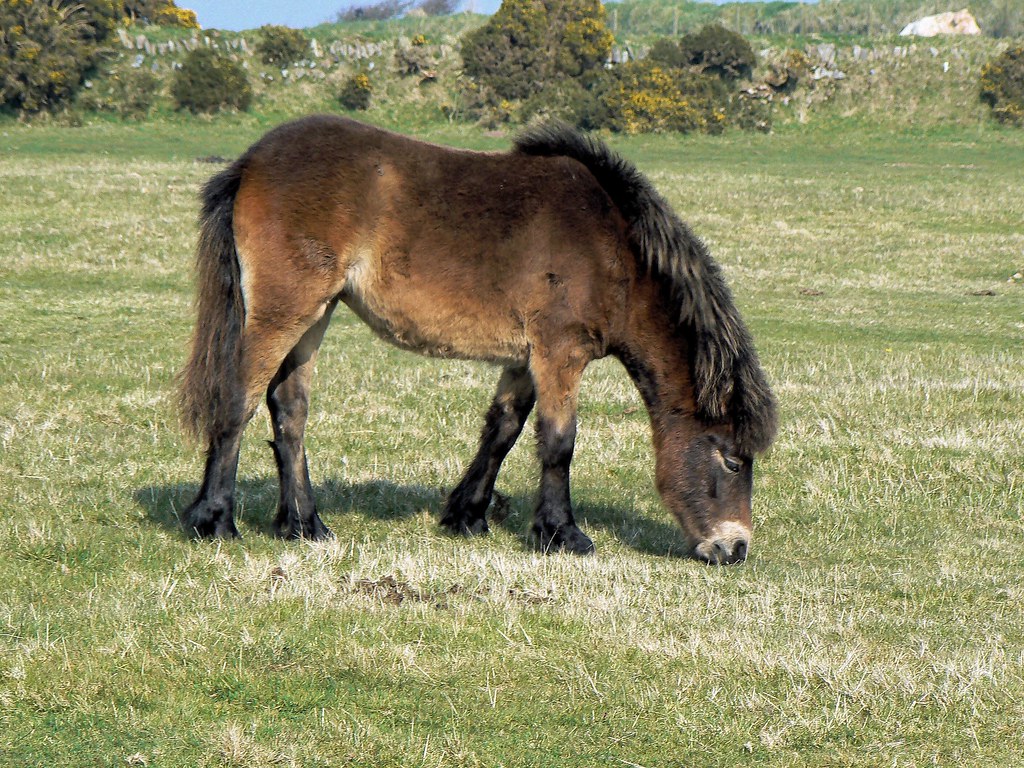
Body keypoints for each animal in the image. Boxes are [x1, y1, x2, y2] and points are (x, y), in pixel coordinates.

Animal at [177, 115, 777, 564]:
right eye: (730, 459)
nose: (735, 548)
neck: (614, 249)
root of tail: (252, 162)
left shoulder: (526, 359)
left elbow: (503, 430)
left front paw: (466, 515)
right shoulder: (560, 354)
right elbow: (559, 442)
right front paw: (562, 534)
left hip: (317, 313)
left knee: (289, 409)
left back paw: (304, 525)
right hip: (285, 310)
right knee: (238, 399)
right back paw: (214, 521)